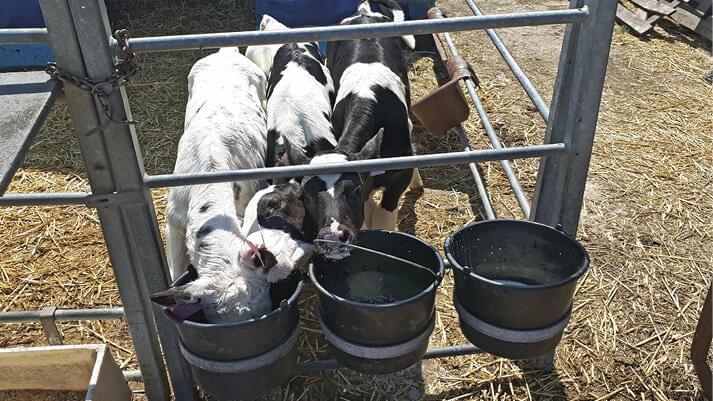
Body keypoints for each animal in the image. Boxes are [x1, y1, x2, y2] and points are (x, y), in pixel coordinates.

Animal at [284, 0, 420, 256]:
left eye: (354, 189)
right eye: (305, 196)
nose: (333, 236)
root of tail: (364, 13)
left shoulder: (398, 177)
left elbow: (384, 220)